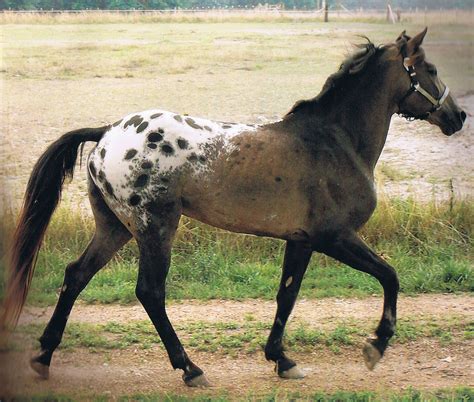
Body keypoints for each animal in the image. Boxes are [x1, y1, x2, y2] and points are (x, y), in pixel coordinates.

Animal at [0, 28, 466, 386]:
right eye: (430, 69)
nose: (458, 116)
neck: (336, 141)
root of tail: (108, 132)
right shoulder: (335, 237)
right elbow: (389, 276)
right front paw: (376, 345)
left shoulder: (301, 240)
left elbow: (287, 296)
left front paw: (282, 360)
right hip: (155, 227)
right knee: (150, 291)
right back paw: (190, 369)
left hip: (113, 227)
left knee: (76, 276)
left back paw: (44, 357)